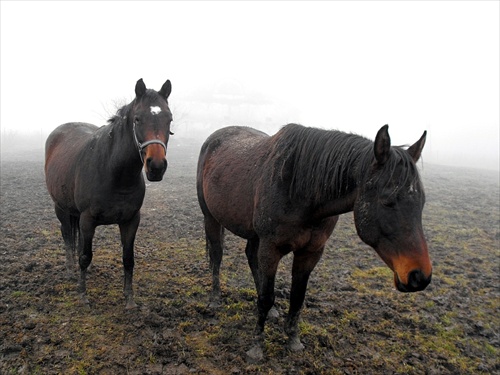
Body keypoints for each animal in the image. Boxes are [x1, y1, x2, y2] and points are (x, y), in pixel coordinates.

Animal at [45, 78, 174, 308]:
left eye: (169, 119)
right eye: (138, 119)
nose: (156, 166)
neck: (115, 173)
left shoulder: (131, 220)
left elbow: (128, 259)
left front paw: (129, 299)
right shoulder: (87, 219)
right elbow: (84, 256)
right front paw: (83, 295)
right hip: (61, 207)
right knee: (67, 234)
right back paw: (70, 270)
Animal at [195, 123, 430, 362]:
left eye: (422, 202)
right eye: (387, 201)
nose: (419, 276)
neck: (300, 190)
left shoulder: (310, 252)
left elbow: (297, 297)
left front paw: (293, 340)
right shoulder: (271, 247)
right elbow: (266, 297)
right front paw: (256, 348)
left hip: (254, 234)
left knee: (251, 257)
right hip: (211, 218)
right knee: (217, 255)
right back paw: (215, 298)